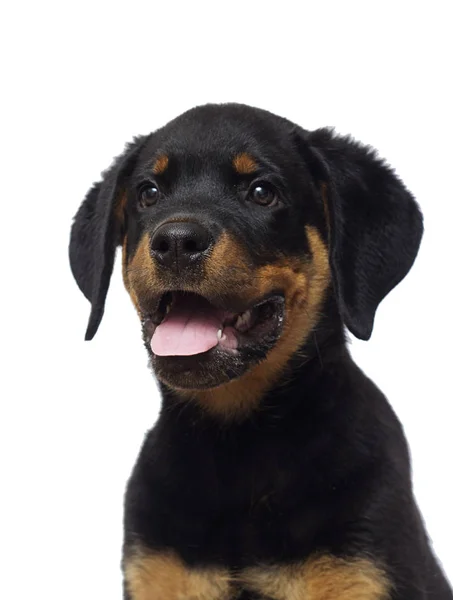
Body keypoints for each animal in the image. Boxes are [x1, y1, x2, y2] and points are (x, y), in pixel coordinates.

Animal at [69, 104, 450, 600]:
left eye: (262, 192)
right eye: (148, 193)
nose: (176, 242)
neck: (238, 446)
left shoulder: (360, 570)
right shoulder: (158, 572)